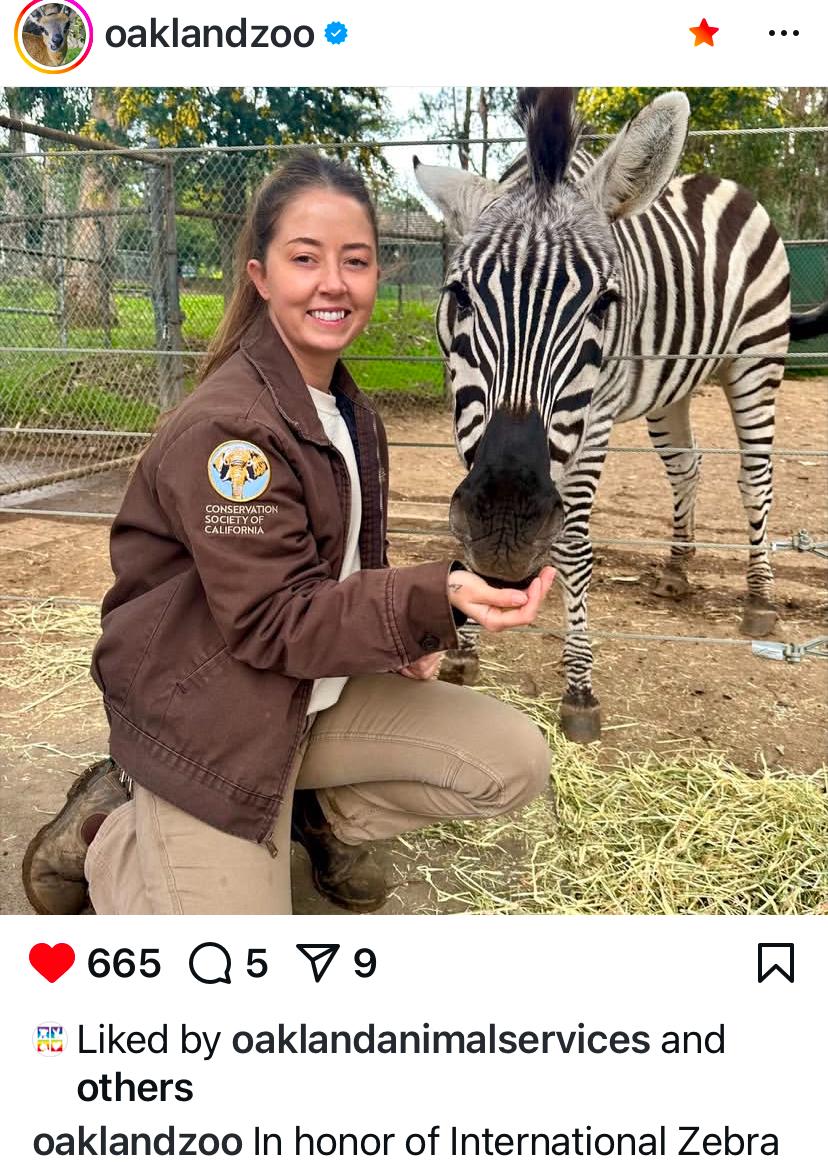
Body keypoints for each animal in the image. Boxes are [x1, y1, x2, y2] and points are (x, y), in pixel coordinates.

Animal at [413, 88, 828, 743]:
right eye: (459, 296)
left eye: (605, 304)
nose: (507, 530)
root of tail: (716, 181)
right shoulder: (464, 407)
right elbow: (463, 529)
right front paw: (464, 642)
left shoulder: (596, 420)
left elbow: (576, 547)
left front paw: (579, 690)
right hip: (669, 384)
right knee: (687, 466)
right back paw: (678, 569)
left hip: (757, 360)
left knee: (755, 480)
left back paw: (759, 598)